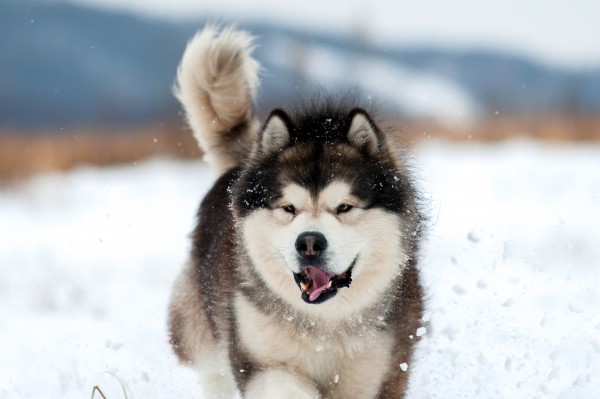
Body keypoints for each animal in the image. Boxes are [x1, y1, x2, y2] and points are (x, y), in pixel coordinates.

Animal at [166, 25, 424, 399]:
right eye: (289, 208)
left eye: (344, 207)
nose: (309, 243)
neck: (323, 326)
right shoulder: (261, 356)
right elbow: (284, 383)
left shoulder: (378, 367)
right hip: (202, 332)